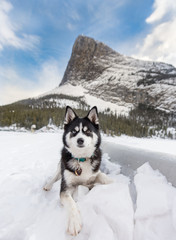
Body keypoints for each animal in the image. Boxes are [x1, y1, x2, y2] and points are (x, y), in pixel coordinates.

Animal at [44, 106, 113, 236]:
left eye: (87, 131)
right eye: (74, 131)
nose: (80, 140)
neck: (81, 159)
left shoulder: (94, 174)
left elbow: (104, 178)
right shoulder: (66, 187)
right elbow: (71, 204)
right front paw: (74, 223)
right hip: (60, 169)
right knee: (55, 176)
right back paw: (47, 185)